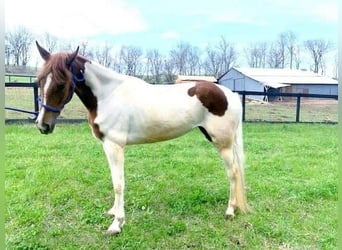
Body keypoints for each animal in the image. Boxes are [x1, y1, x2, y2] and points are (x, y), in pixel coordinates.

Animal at [34, 41, 250, 234]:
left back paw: (230, 211)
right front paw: (113, 212)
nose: (43, 125)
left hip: (223, 144)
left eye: (61, 84)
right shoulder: (107, 146)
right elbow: (114, 180)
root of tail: (230, 94)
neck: (107, 94)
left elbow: (119, 184)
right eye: (40, 80)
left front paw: (116, 224)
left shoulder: (115, 146)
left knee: (233, 173)